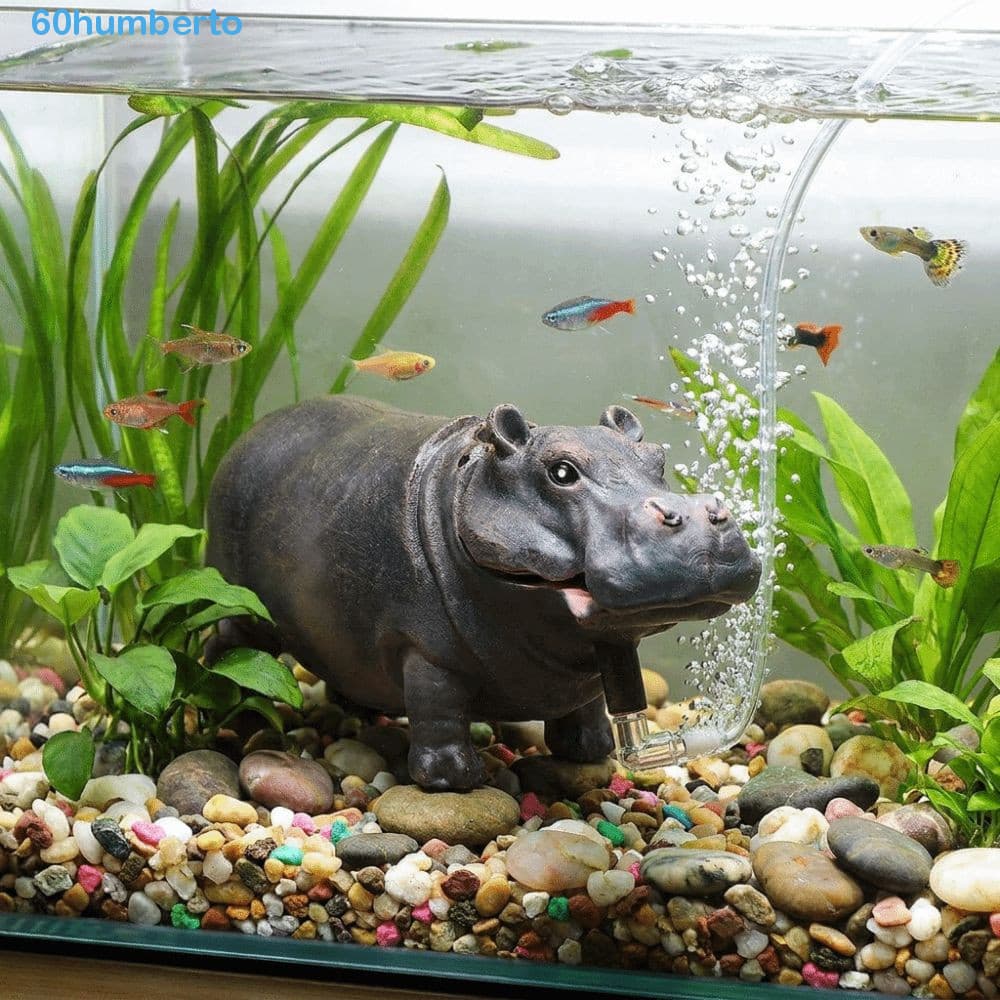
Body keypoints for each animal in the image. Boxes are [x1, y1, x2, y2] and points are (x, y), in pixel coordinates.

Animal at [206, 395, 761, 790]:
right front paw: (453, 778)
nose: (702, 517)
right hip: (236, 600)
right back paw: (227, 713)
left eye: (657, 459)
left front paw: (591, 749)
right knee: (229, 644)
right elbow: (438, 707)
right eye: (561, 471)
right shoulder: (425, 649)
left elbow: (588, 703)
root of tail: (251, 431)